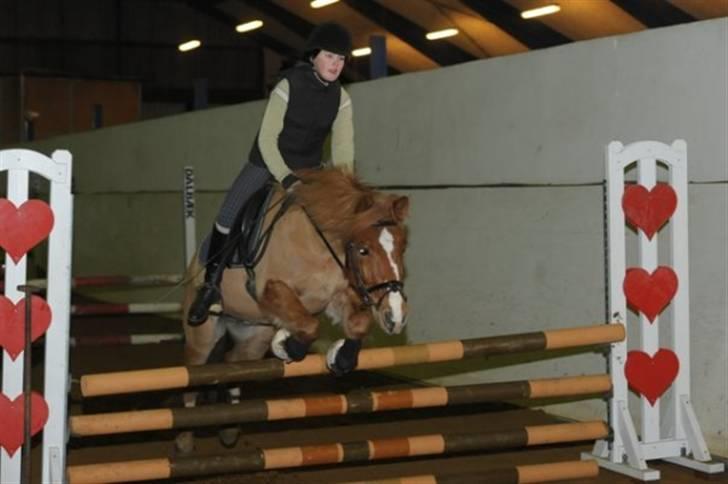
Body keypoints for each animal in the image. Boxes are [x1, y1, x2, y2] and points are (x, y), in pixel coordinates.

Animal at [174, 168, 406, 452]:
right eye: (364, 250)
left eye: (402, 247)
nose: (396, 317)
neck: (319, 242)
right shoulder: (272, 288)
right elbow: (309, 325)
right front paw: (288, 346)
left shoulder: (335, 296)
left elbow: (356, 323)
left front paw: (341, 358)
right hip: (203, 334)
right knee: (194, 373)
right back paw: (185, 437)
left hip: (254, 335)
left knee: (234, 363)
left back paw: (230, 428)